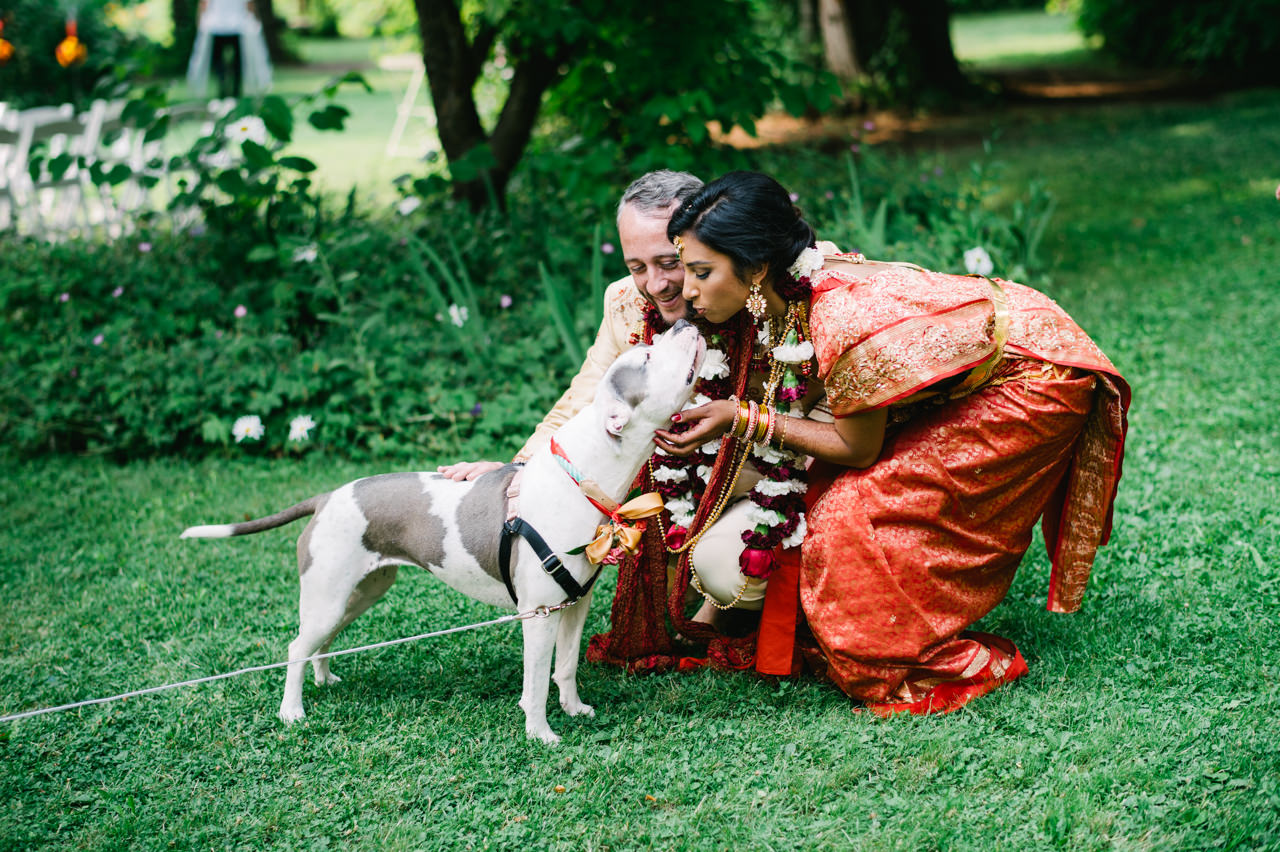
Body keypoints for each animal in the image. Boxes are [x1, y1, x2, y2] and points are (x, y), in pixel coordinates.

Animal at [180, 322, 706, 741]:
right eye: (647, 356)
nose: (684, 322)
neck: (580, 477)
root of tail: (328, 496)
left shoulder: (574, 606)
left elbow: (567, 667)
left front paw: (574, 709)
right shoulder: (538, 615)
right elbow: (536, 682)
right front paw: (541, 734)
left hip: (358, 593)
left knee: (319, 642)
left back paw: (325, 680)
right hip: (329, 594)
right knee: (295, 647)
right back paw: (292, 711)